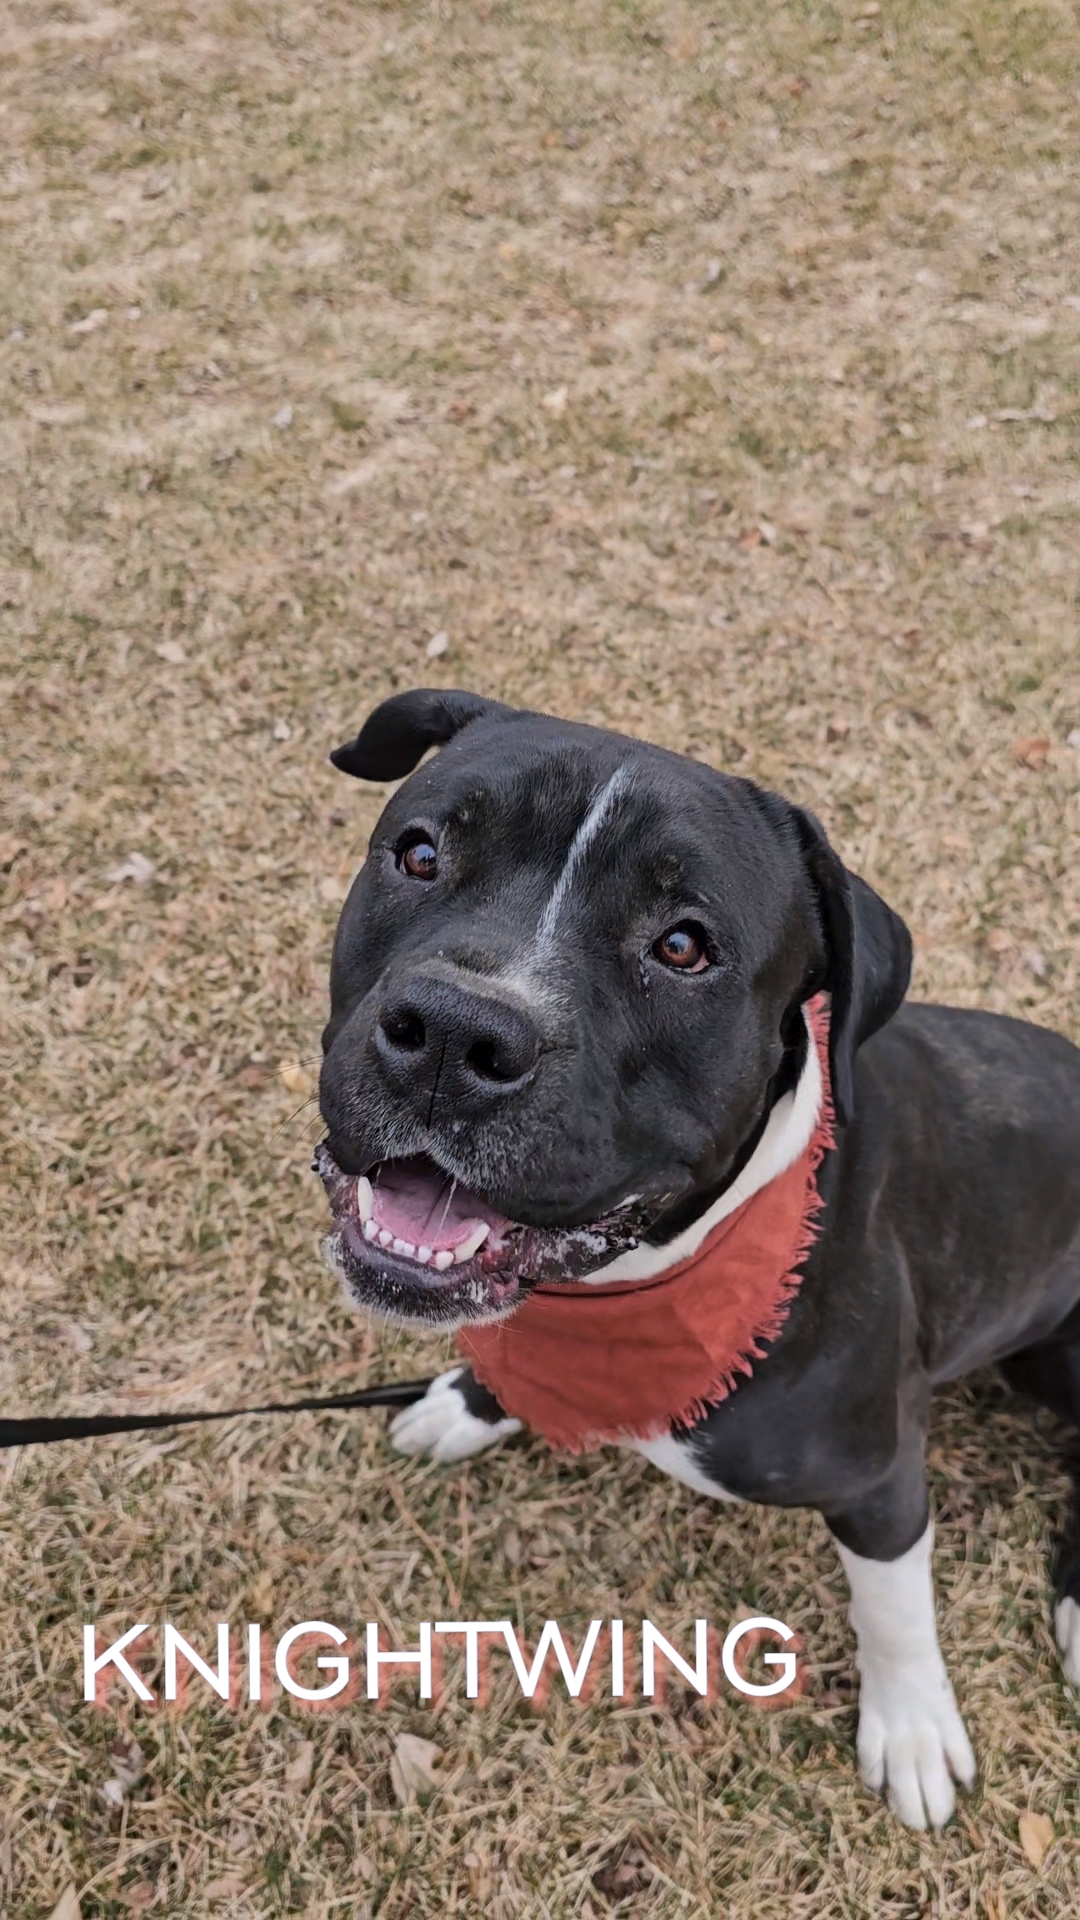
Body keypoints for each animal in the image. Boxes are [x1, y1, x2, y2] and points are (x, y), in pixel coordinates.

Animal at [311, 691, 1076, 1827]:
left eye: (682, 946)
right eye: (419, 854)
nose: (452, 1032)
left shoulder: (881, 1476)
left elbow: (893, 1608)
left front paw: (911, 1729)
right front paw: (471, 1401)